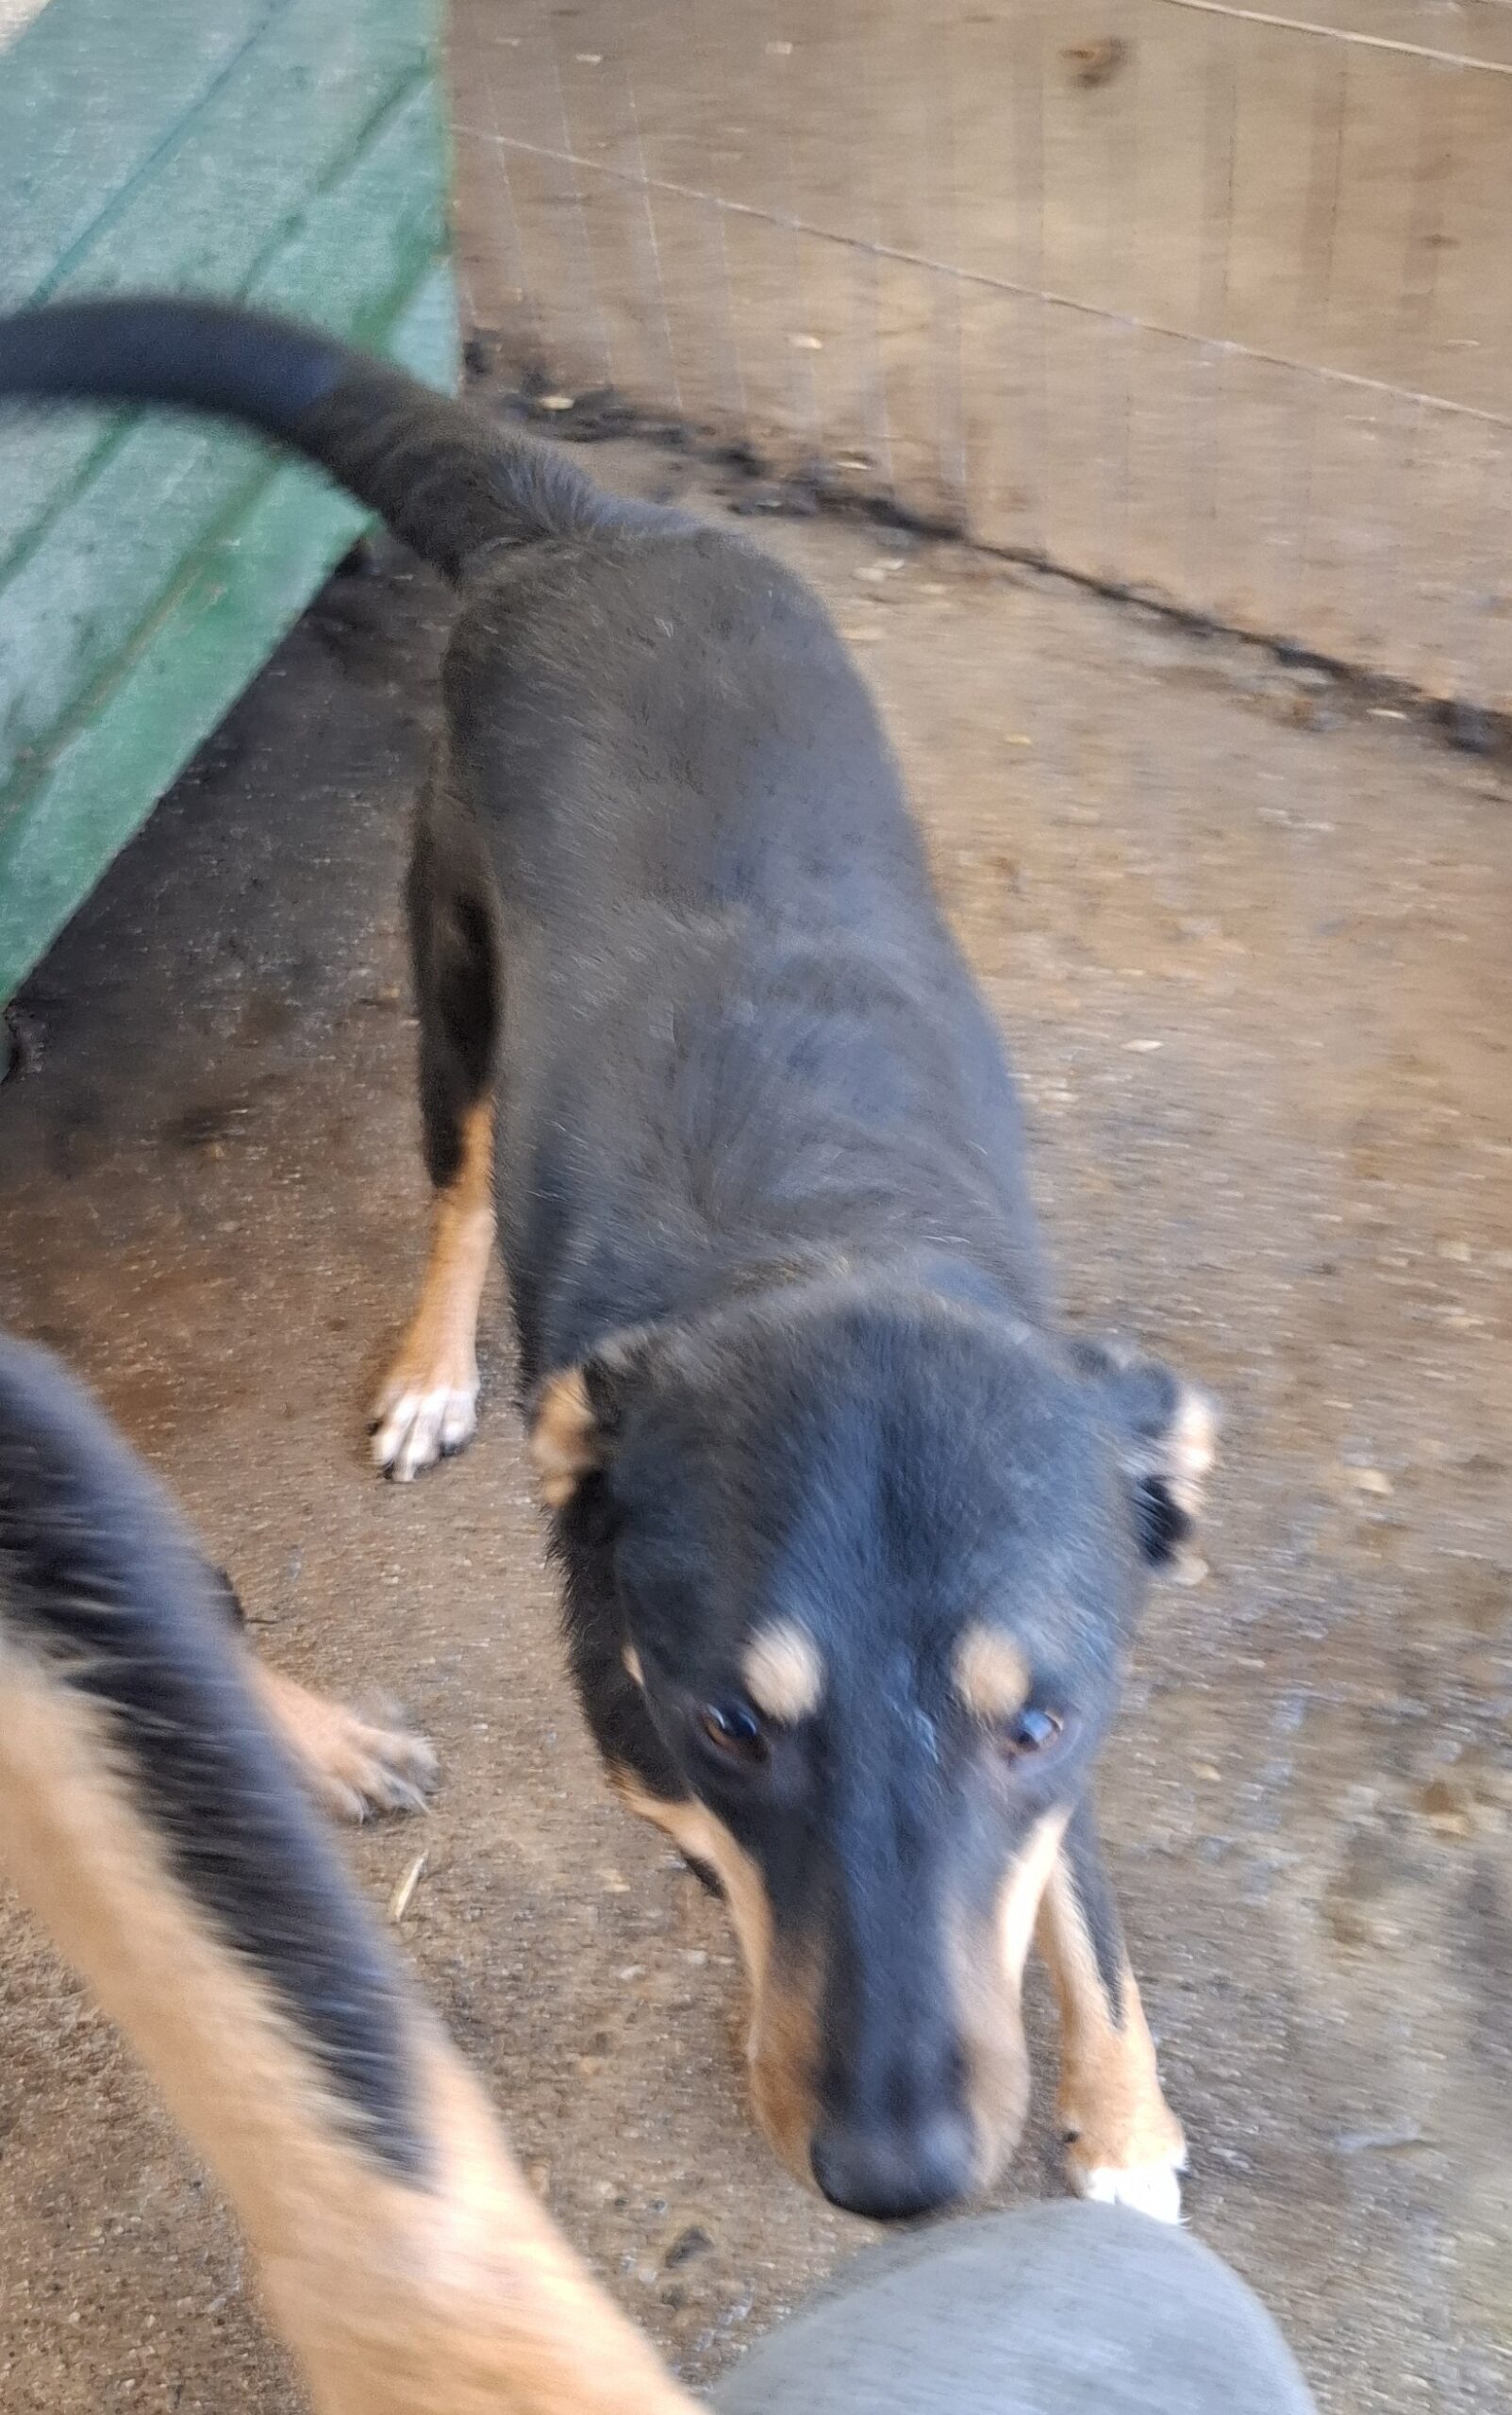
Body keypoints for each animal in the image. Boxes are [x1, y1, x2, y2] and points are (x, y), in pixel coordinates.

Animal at [0, 297, 1215, 2220]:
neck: (812, 1248)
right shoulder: (648, 1755)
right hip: (455, 993)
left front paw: (1121, 2125)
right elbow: (744, 1888)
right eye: (728, 1725)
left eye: (1030, 1727)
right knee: (458, 1190)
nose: (896, 2175)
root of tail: (581, 524)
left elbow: (1074, 1920)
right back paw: (433, 1371)